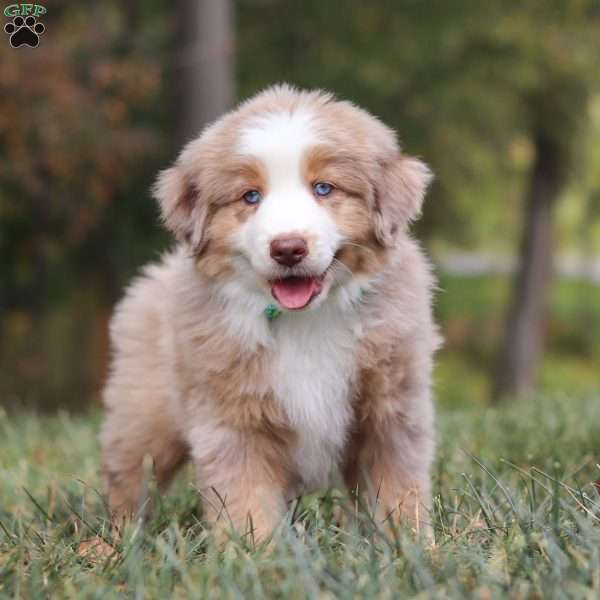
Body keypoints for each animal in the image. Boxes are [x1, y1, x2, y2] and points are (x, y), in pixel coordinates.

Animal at [101, 85, 440, 544]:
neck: (306, 321)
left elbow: (396, 486)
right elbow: (245, 496)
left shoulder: (391, 406)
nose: (288, 248)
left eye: (324, 188)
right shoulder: (232, 419)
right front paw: (256, 552)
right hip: (143, 414)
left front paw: (410, 544)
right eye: (251, 196)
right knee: (129, 476)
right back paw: (115, 542)